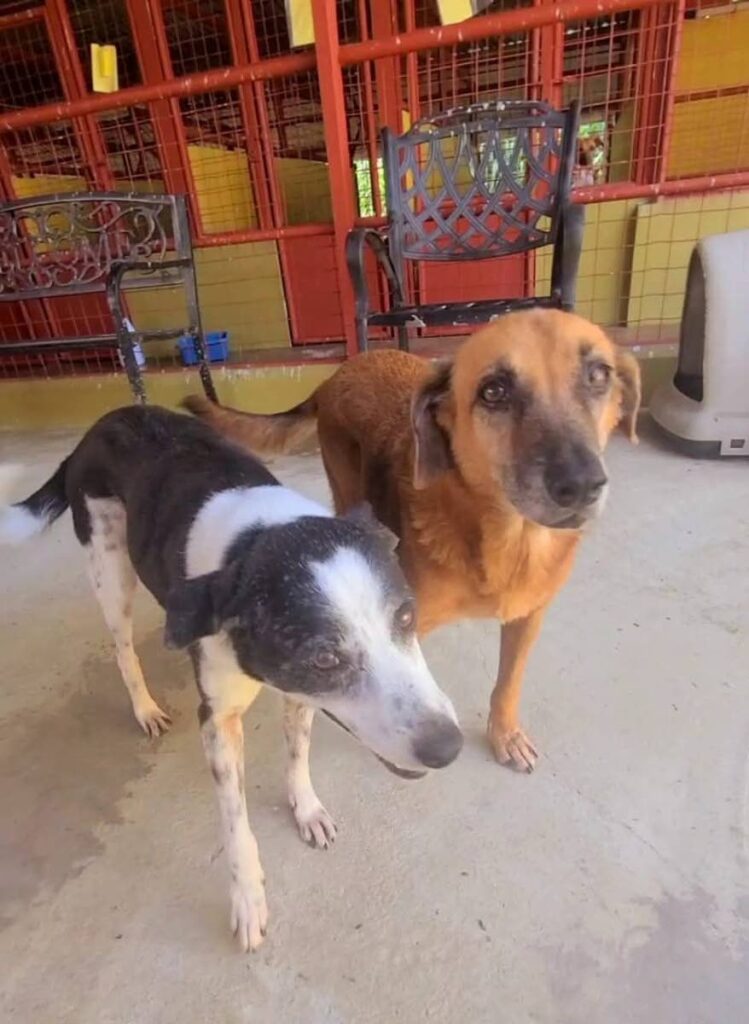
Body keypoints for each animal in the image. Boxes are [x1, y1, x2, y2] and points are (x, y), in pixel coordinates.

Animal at [1, 405, 463, 950]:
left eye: (408, 616)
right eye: (325, 658)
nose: (448, 748)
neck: (257, 539)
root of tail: (100, 425)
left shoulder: (297, 693)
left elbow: (297, 755)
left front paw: (306, 809)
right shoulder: (219, 722)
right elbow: (235, 825)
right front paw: (247, 900)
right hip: (109, 569)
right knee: (122, 648)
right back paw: (144, 707)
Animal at [186, 307, 639, 770]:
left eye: (599, 375)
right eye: (493, 392)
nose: (581, 485)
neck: (506, 542)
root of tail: (342, 370)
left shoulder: (528, 616)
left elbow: (508, 681)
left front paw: (504, 733)